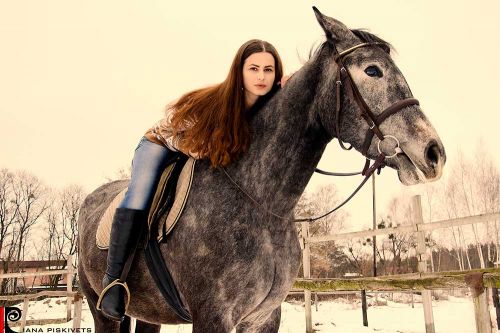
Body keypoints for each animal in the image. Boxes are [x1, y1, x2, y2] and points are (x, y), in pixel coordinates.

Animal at [77, 7, 446, 332]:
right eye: (372, 71)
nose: (434, 154)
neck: (260, 201)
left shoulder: (263, 317)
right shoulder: (213, 318)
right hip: (102, 310)